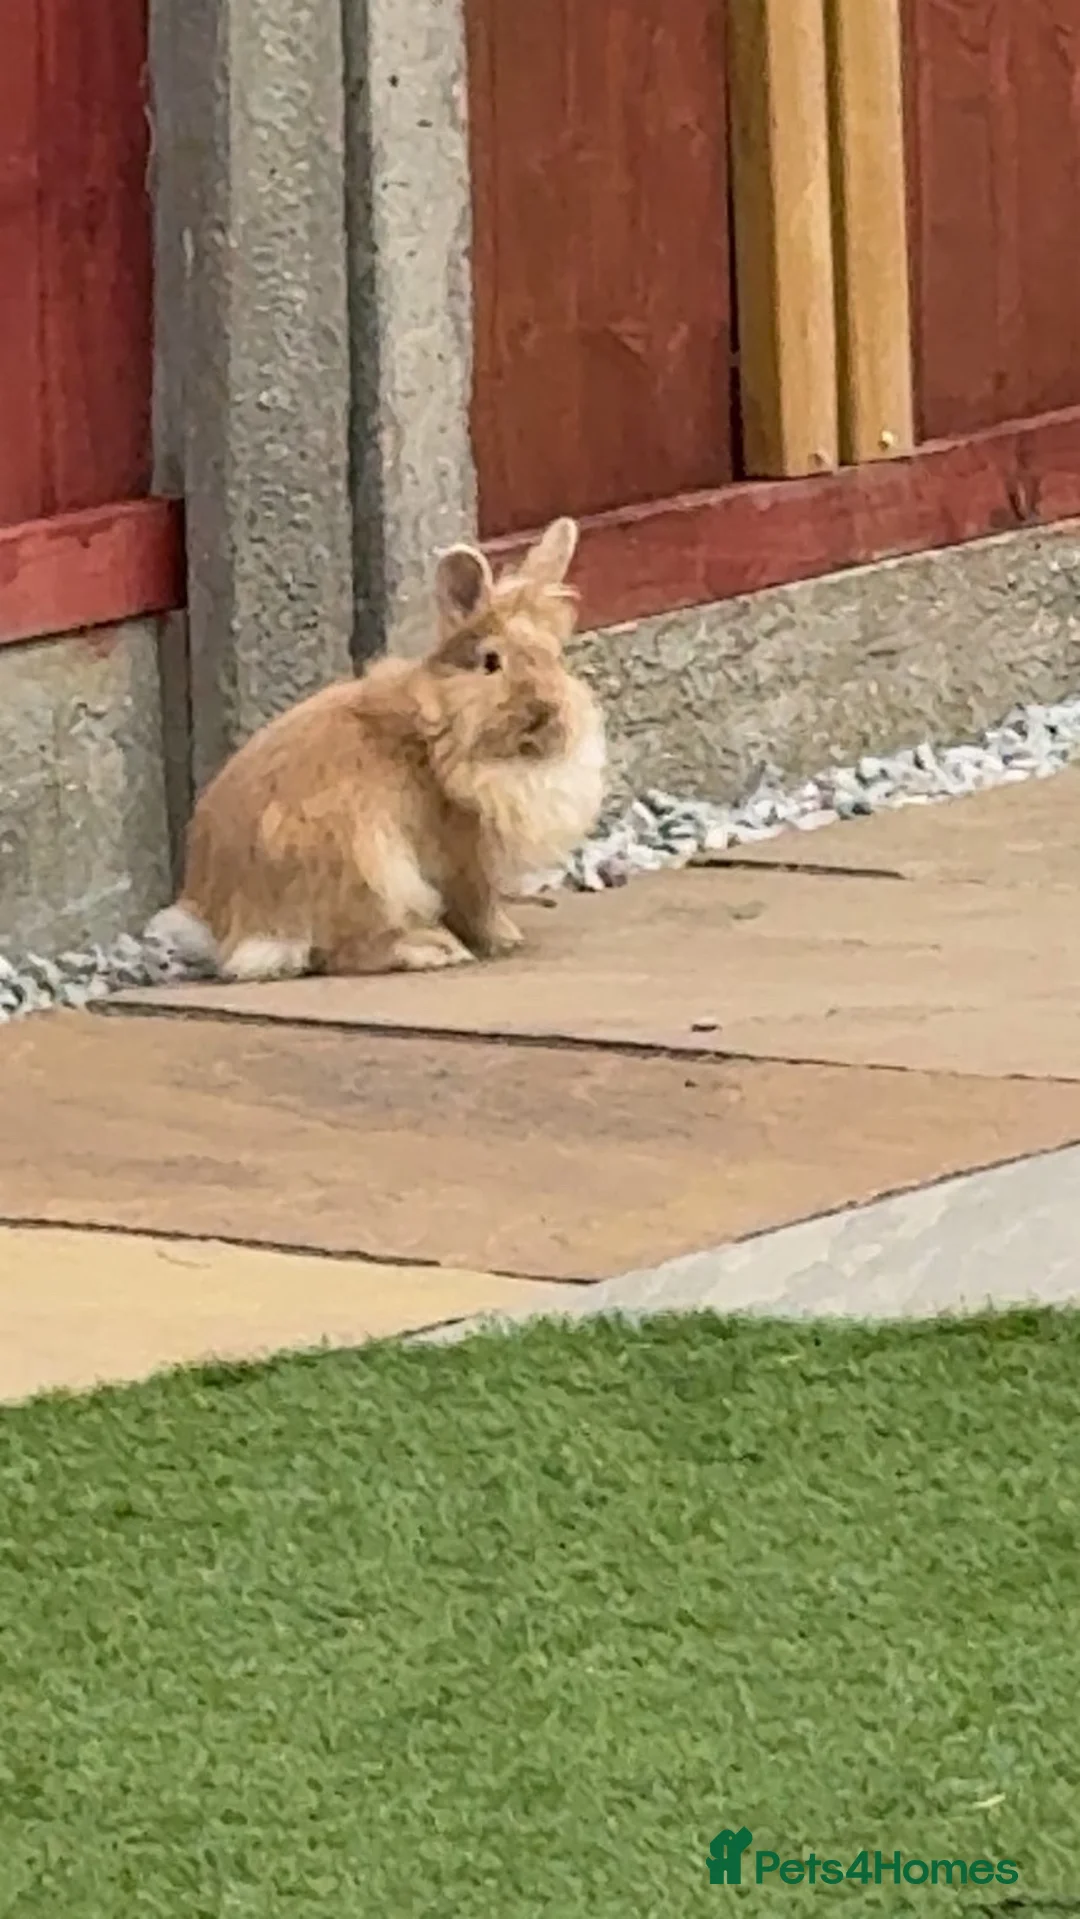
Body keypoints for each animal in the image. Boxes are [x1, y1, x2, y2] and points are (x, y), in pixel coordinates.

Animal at [147, 515, 606, 979]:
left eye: (555, 658)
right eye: (490, 663)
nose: (547, 715)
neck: (439, 726)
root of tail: (227, 927)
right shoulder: (463, 861)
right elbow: (478, 908)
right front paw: (504, 939)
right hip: (368, 870)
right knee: (344, 952)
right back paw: (431, 949)